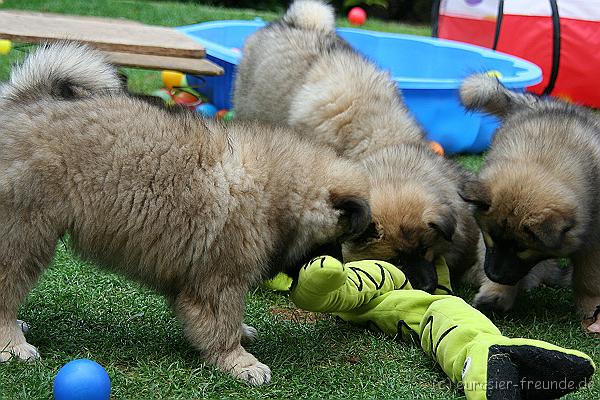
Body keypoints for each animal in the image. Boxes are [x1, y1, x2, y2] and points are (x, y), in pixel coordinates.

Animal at [0, 42, 372, 382]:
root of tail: (21, 102)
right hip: (24, 233)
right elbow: (223, 324)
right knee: (7, 288)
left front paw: (242, 337)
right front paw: (239, 362)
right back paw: (12, 344)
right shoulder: (220, 280)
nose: (340, 270)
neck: (275, 191)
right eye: (334, 241)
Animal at [460, 72, 600, 334]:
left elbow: (589, 277)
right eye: (490, 237)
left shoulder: (594, 241)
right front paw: (496, 294)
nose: (494, 275)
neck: (545, 162)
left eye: (523, 248)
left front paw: (591, 309)